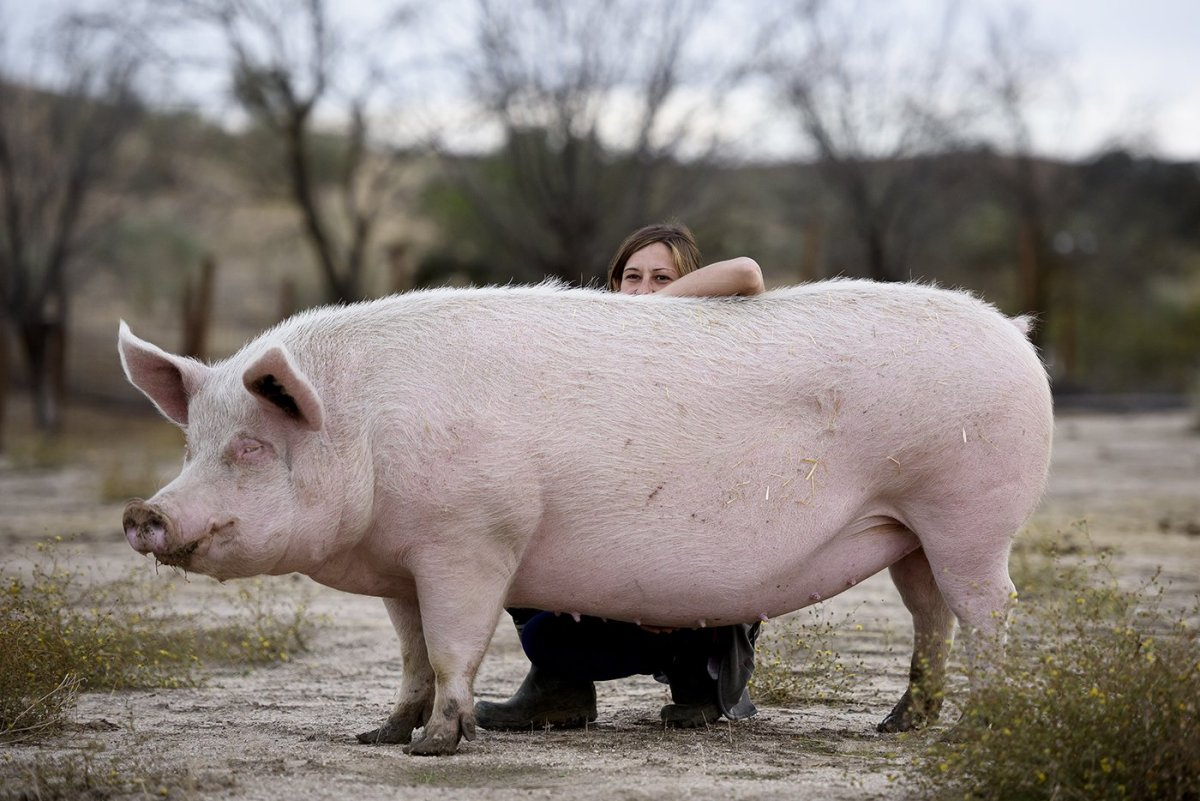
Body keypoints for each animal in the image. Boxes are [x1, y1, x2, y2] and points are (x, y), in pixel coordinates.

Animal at [121, 280, 1051, 757]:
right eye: (192, 442)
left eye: (248, 446)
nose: (144, 511)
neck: (365, 426)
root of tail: (1016, 333)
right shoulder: (400, 566)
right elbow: (411, 652)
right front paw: (377, 733)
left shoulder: (471, 538)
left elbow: (454, 643)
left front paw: (437, 745)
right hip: (908, 531)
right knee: (929, 614)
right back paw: (898, 723)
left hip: (969, 512)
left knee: (988, 608)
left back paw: (985, 720)